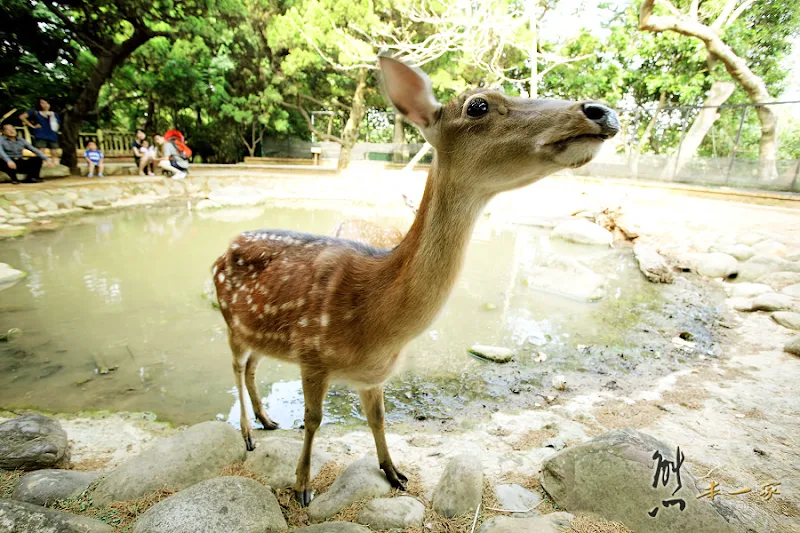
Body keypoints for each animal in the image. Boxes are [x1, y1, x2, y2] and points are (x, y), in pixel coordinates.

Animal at [212, 53, 620, 502]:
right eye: (478, 105)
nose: (600, 111)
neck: (376, 323)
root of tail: (222, 252)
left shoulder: (373, 376)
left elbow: (378, 419)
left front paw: (393, 472)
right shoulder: (312, 354)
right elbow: (314, 419)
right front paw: (302, 486)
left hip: (257, 331)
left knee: (252, 366)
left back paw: (267, 420)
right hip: (229, 321)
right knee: (235, 367)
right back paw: (248, 432)